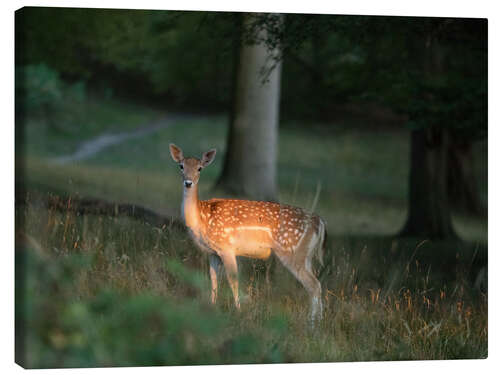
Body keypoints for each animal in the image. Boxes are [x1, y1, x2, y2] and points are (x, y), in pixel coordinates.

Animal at [170, 144, 328, 326]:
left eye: (199, 168)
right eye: (181, 166)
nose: (188, 182)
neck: (201, 219)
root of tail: (319, 222)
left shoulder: (227, 248)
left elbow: (233, 280)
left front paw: (238, 312)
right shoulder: (213, 252)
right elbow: (213, 280)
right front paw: (211, 307)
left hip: (292, 251)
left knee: (314, 285)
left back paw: (313, 324)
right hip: (305, 255)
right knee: (316, 283)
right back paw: (318, 321)